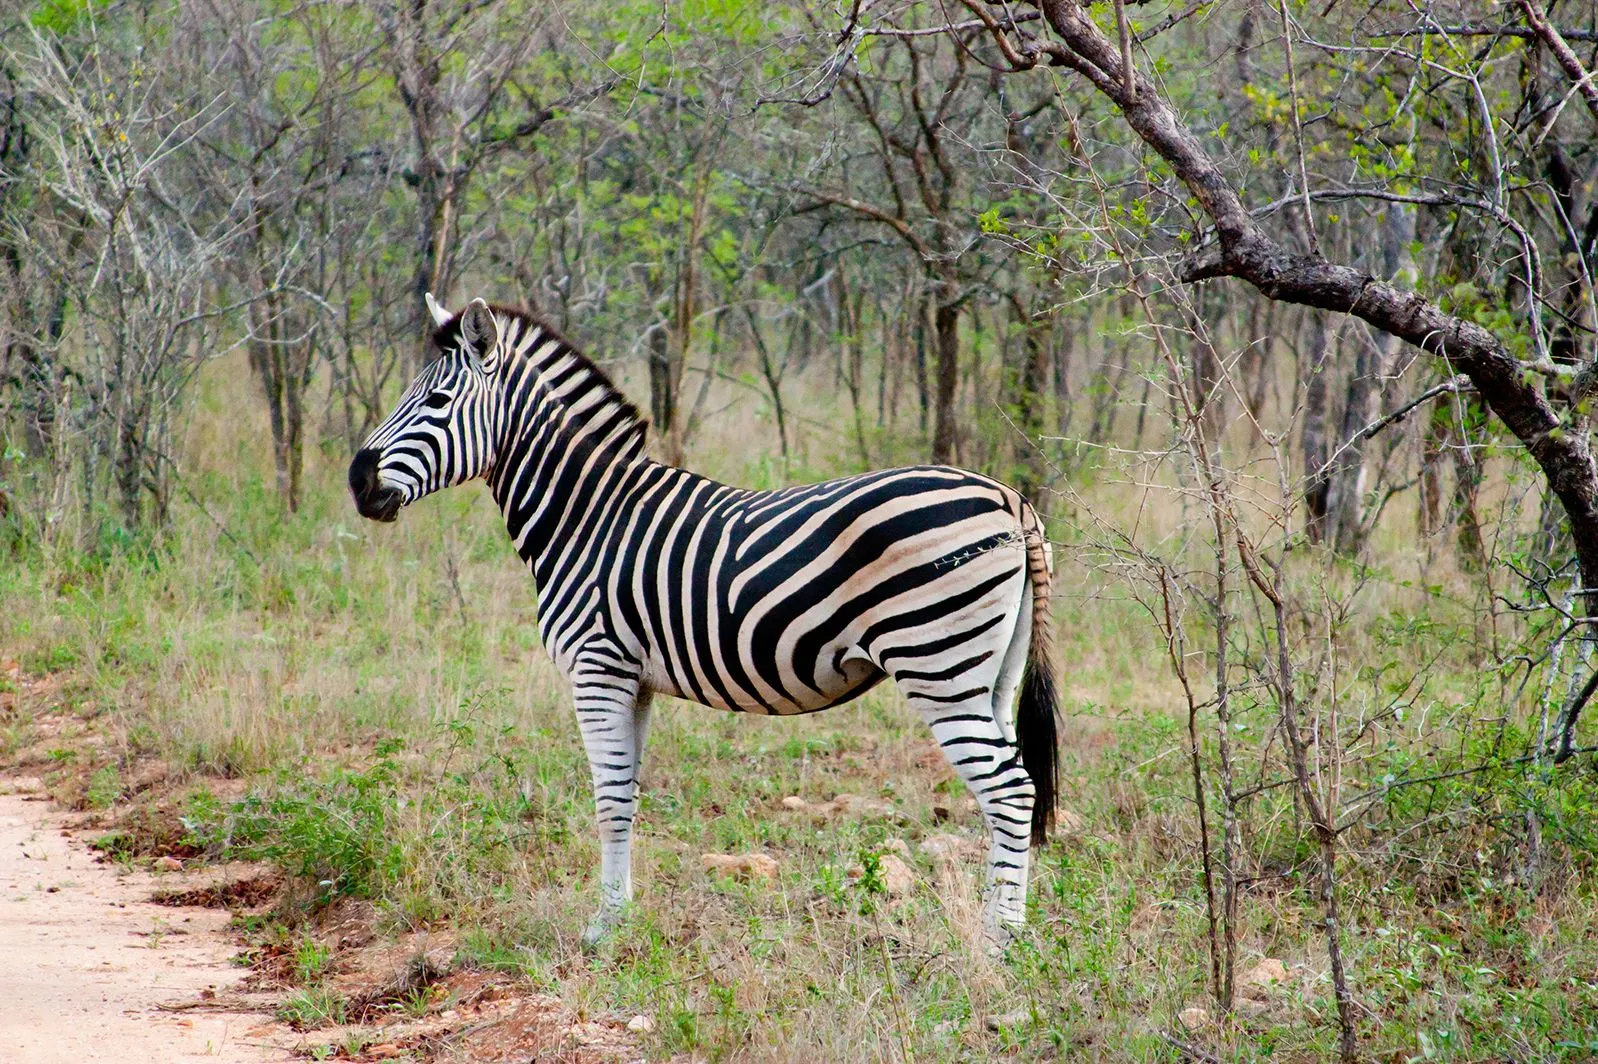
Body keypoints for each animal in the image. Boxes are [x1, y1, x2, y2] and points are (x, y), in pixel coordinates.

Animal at [353, 293, 1061, 939]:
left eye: (436, 402)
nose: (357, 481)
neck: (586, 516)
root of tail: (1009, 497)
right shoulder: (633, 680)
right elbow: (628, 797)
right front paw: (622, 916)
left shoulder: (596, 668)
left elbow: (608, 801)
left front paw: (602, 931)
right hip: (992, 672)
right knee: (1014, 789)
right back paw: (1008, 931)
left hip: (938, 665)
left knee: (1010, 792)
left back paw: (999, 945)